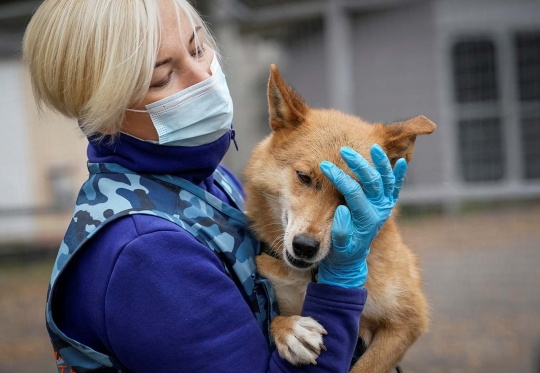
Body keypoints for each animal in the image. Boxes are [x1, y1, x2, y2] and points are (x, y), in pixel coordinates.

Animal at [245, 65, 434, 370]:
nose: (305, 247)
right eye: (304, 177)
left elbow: (366, 367)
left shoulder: (407, 320)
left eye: (354, 194)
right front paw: (290, 330)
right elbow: (274, 318)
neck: (311, 276)